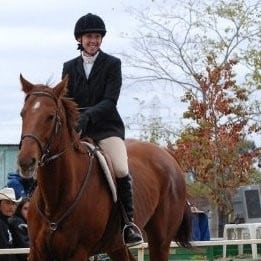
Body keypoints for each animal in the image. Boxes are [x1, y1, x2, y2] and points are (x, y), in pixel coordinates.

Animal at [17, 74, 190, 258]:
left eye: (50, 117)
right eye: (22, 114)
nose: (26, 162)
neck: (55, 199)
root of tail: (167, 154)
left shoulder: (79, 252)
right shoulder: (37, 251)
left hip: (160, 241)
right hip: (117, 245)